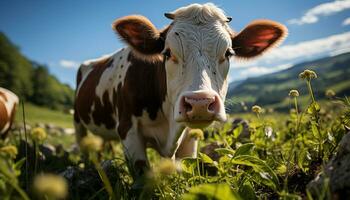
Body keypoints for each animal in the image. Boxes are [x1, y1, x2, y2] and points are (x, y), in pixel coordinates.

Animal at [74, 3, 288, 178]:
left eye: (228, 53)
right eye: (167, 53)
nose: (200, 103)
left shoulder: (190, 138)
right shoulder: (128, 129)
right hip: (78, 120)